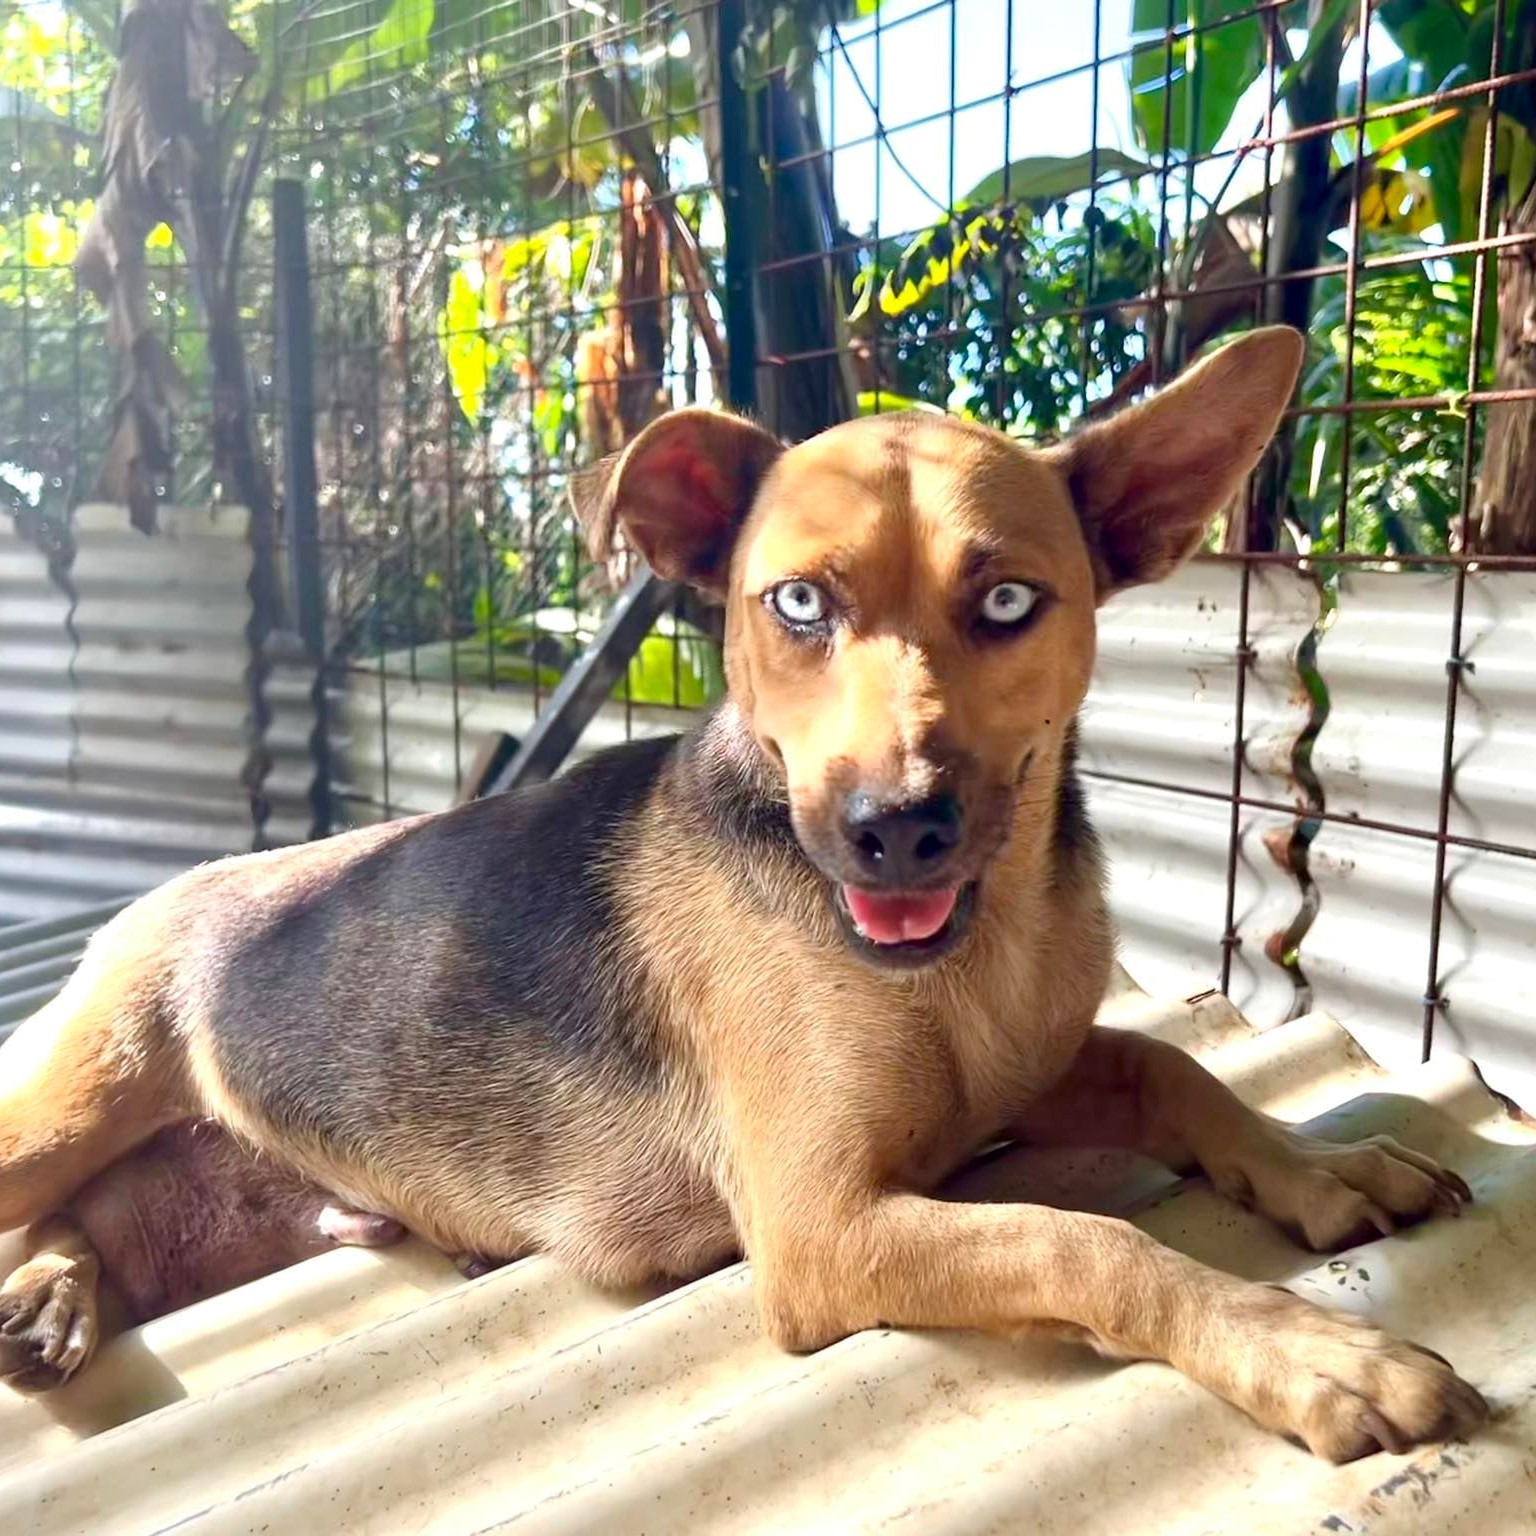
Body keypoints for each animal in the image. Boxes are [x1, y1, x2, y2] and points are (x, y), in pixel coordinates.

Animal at [0, 327, 1486, 1462]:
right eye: (798, 605)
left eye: (1011, 600)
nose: (897, 834)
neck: (979, 952)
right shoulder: (823, 1232)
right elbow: (1089, 1244)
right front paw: (1312, 1352)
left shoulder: (1019, 1076)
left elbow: (1172, 1069)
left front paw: (1320, 1164)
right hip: (72, 1099)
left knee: (91, 1225)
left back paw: (51, 1304)